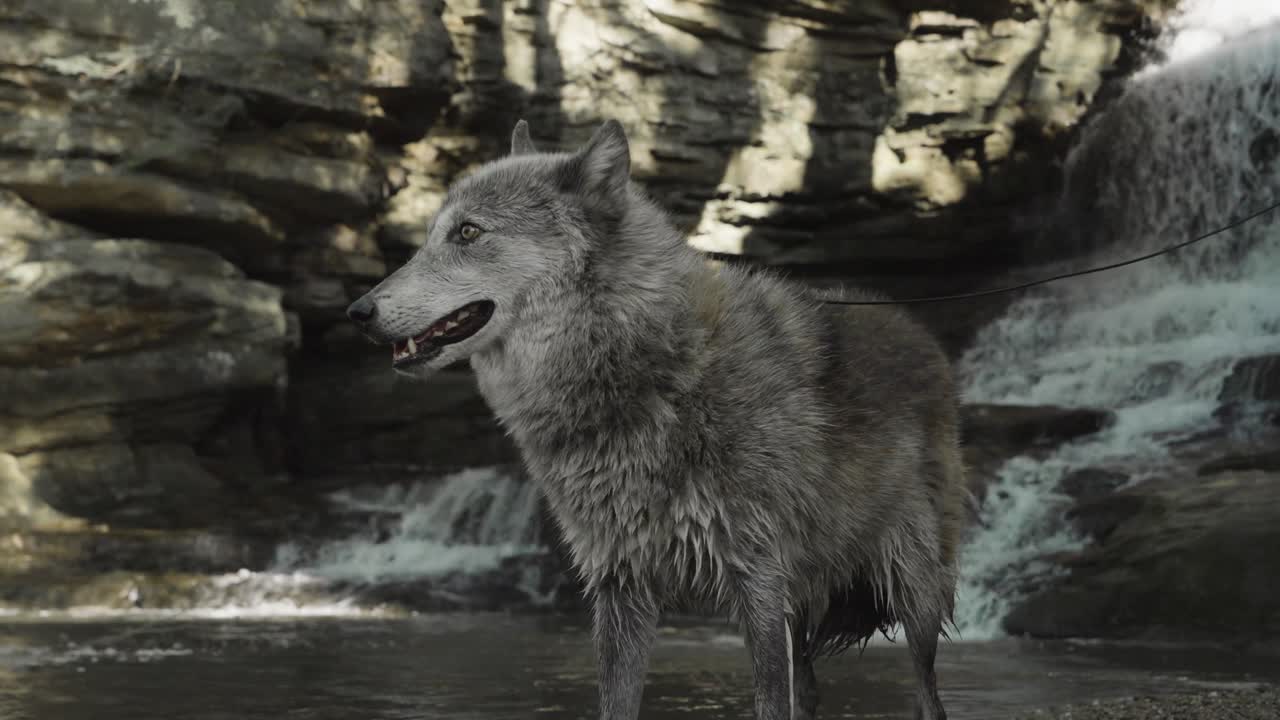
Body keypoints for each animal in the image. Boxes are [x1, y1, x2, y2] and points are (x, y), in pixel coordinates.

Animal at [347, 119, 968, 720]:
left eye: (469, 233)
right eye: (433, 235)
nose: (358, 312)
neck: (647, 368)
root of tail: (920, 334)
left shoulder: (759, 582)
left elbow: (770, 701)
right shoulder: (621, 588)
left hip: (911, 595)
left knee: (927, 696)